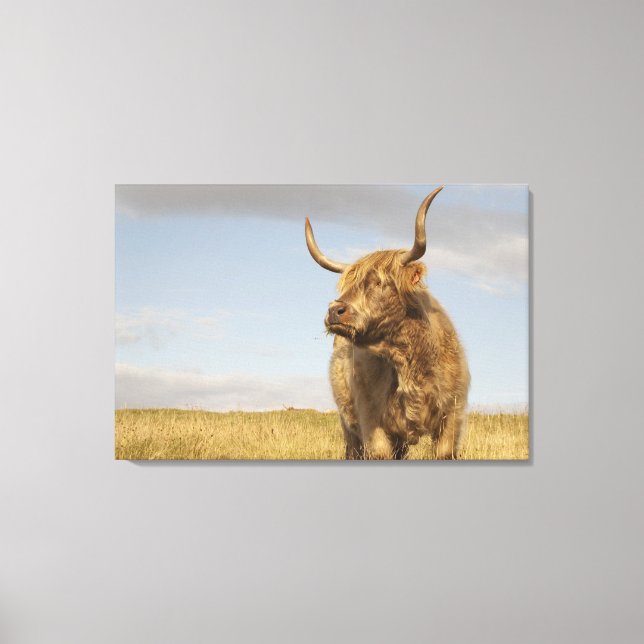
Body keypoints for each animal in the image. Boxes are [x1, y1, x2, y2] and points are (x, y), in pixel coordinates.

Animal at [305, 186, 470, 460]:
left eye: (380, 282)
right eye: (346, 285)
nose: (334, 311)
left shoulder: (452, 417)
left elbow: (445, 452)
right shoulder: (371, 420)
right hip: (348, 424)